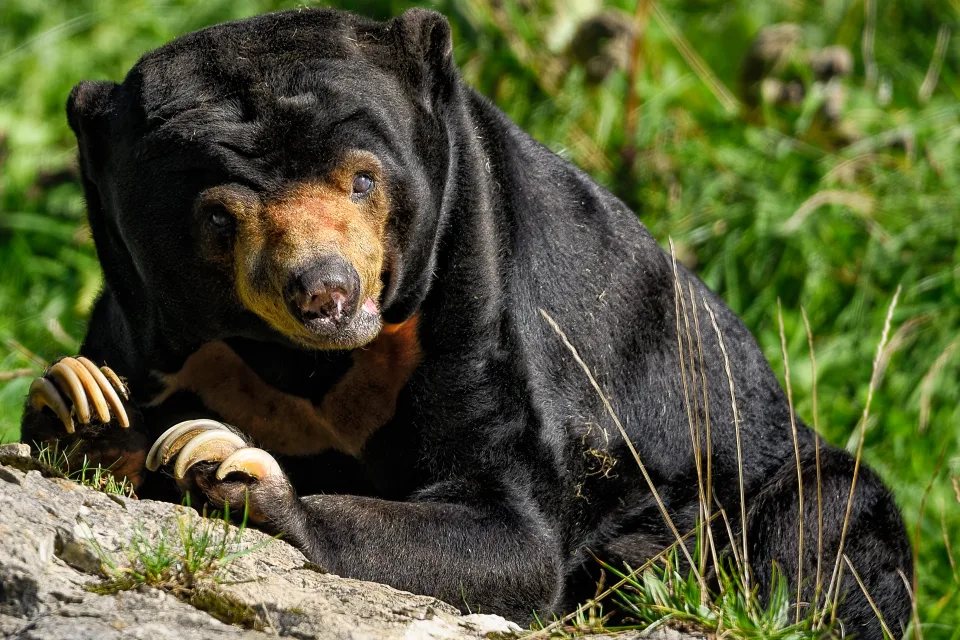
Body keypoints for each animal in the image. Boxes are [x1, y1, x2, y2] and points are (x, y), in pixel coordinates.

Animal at [20, 7, 911, 636]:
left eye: (363, 179)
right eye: (216, 218)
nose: (325, 293)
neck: (303, 360)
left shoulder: (480, 289)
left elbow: (509, 529)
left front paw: (225, 462)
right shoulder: (146, 316)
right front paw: (80, 400)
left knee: (824, 524)